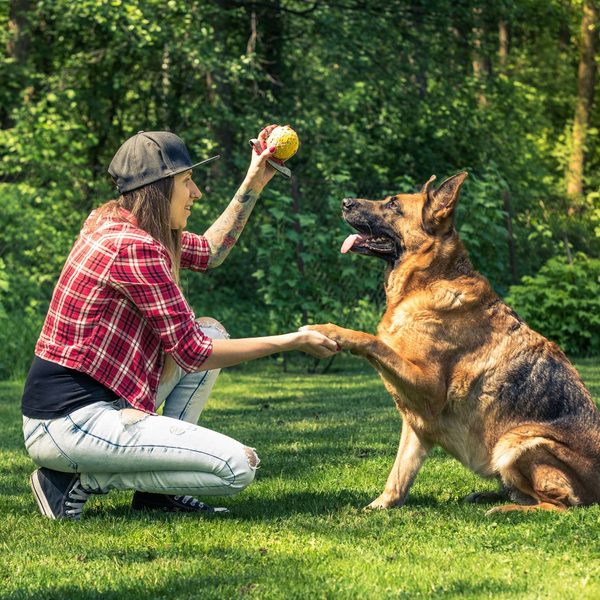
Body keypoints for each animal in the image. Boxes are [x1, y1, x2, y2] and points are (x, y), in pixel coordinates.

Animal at [304, 171, 600, 512]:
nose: (345, 202)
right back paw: (489, 496)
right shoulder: (417, 423)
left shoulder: (429, 388)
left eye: (393, 204)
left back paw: (507, 509)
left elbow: (371, 341)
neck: (428, 279)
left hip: (517, 442)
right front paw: (380, 506)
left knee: (558, 504)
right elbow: (399, 475)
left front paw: (330, 330)